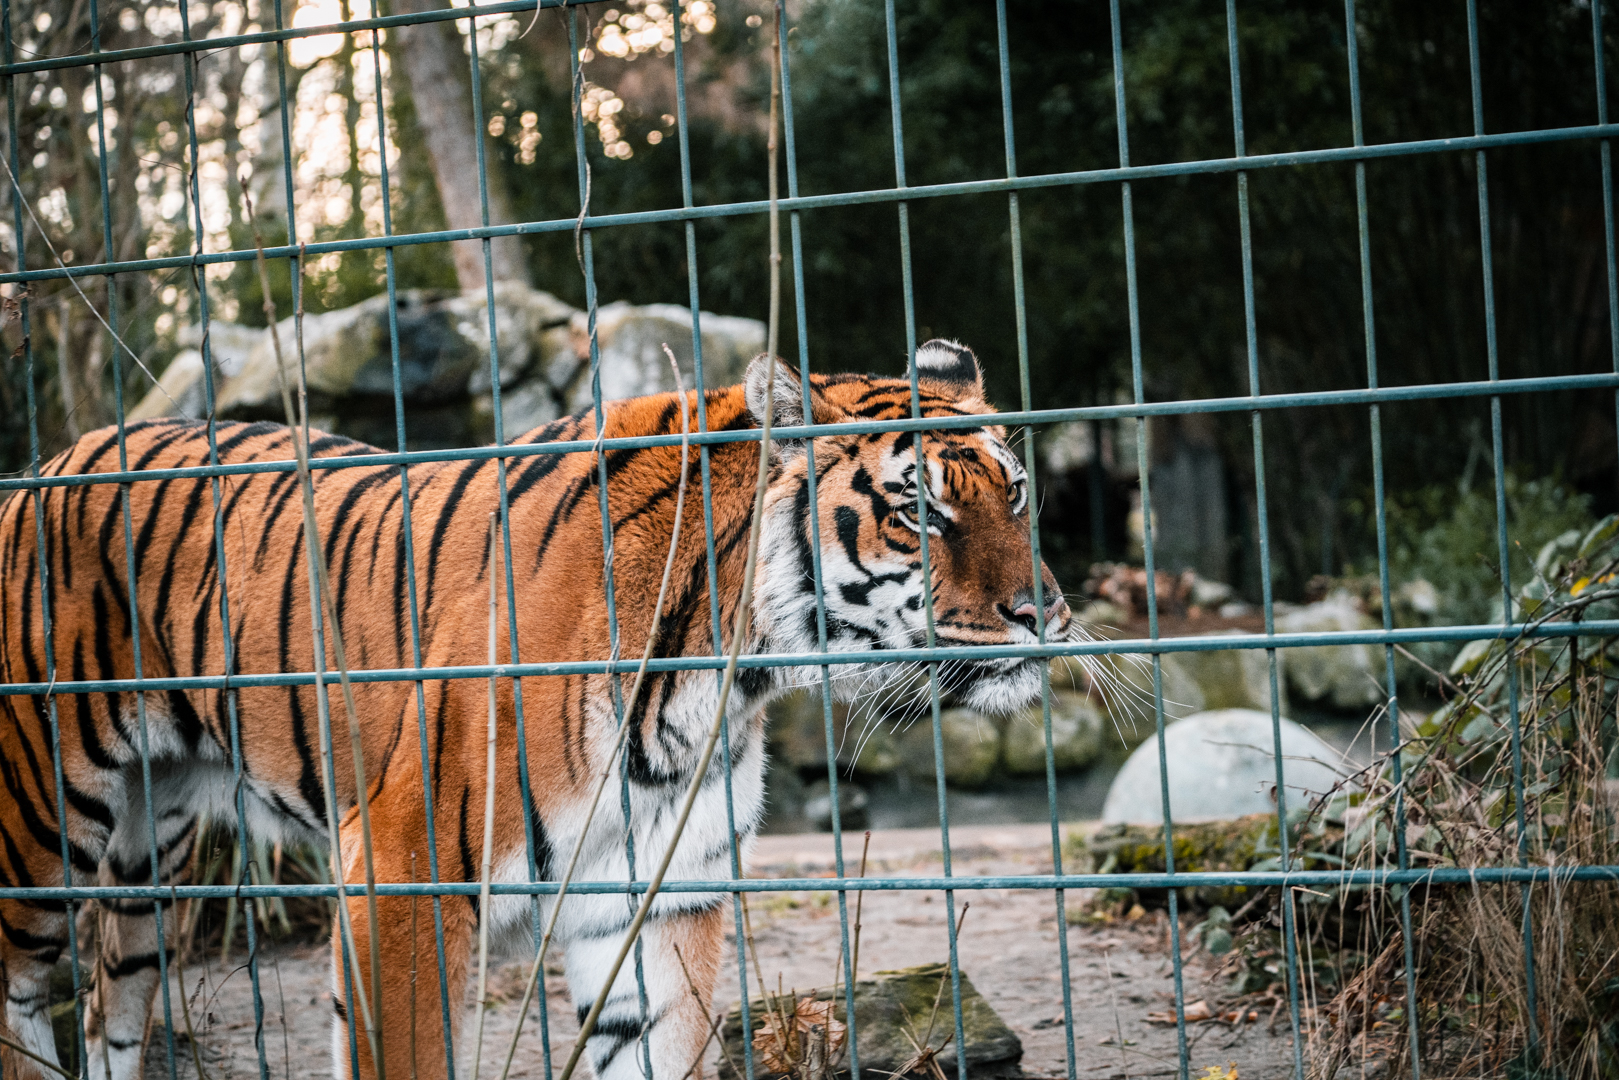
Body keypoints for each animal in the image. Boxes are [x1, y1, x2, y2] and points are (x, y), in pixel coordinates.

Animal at [0, 339, 1074, 1080]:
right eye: (918, 511)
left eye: (1018, 494)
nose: (1043, 612)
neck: (723, 671)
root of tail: (53, 458)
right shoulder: (401, 873)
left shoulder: (660, 893)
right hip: (40, 826)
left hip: (153, 859)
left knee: (107, 1009)